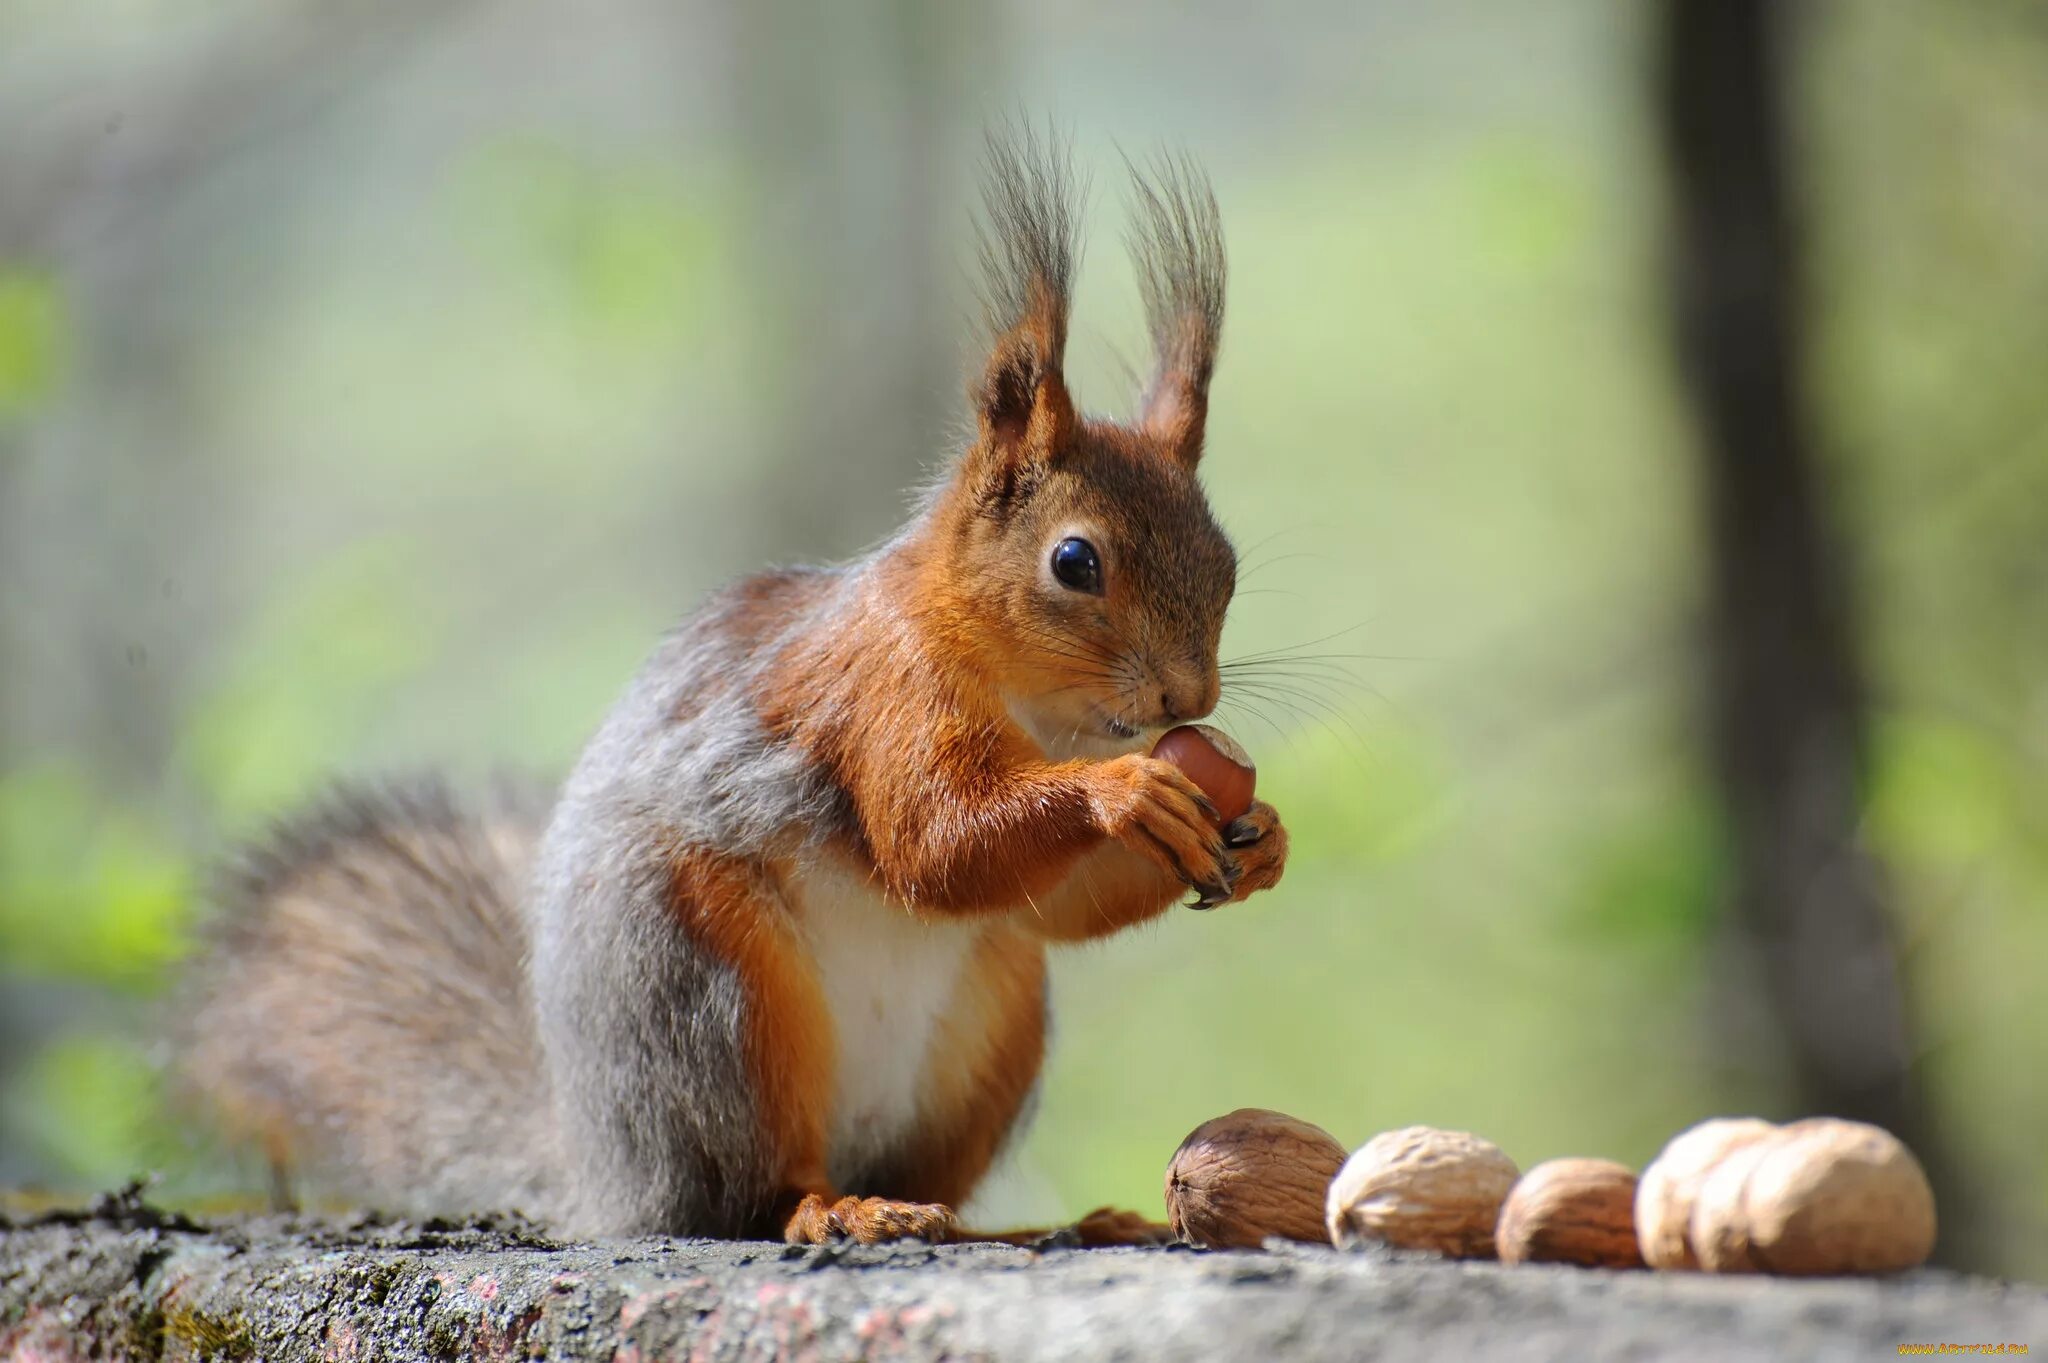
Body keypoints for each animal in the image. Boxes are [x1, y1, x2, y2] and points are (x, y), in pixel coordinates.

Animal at [184, 127, 1286, 1244]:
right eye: (1074, 561)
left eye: (1229, 561)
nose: (1188, 702)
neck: (1036, 706)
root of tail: (609, 1170)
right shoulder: (877, 696)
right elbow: (935, 841)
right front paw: (1128, 792)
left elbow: (1050, 898)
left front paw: (1260, 835)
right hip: (716, 995)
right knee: (748, 1191)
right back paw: (835, 1208)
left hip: (995, 1009)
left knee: (938, 1162)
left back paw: (1026, 1224)